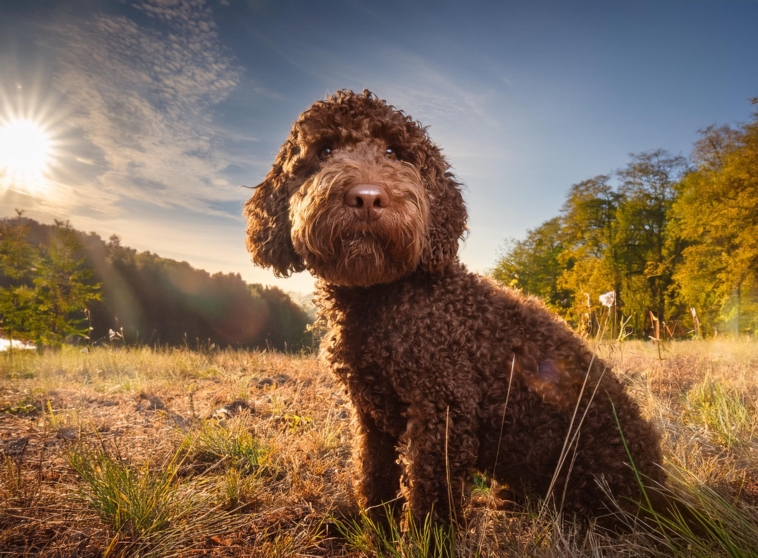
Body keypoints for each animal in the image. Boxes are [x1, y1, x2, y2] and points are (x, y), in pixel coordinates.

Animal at [246, 88, 668, 528]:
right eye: (324, 150)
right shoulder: (370, 415)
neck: (380, 300)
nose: (367, 198)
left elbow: (431, 496)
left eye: (395, 151)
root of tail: (661, 490)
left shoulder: (442, 409)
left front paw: (423, 535)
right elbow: (374, 474)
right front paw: (376, 526)